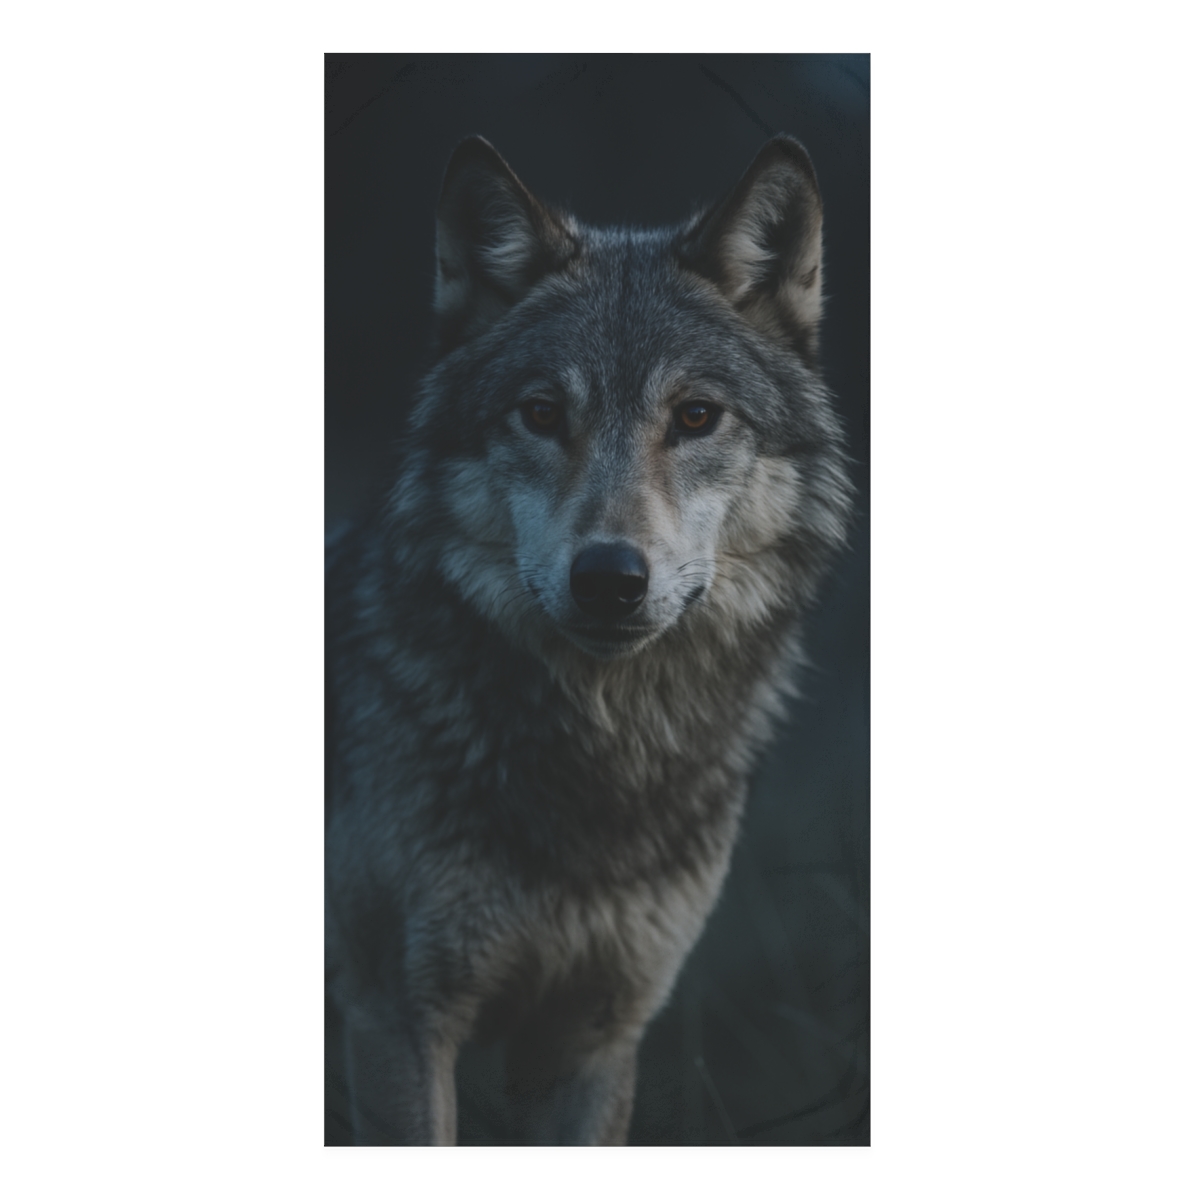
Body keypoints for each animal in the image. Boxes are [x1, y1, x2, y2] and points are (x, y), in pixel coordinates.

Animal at [325, 133, 854, 1145]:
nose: (609, 578)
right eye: (540, 413)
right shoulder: (396, 1020)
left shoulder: (595, 1037)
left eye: (695, 416)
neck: (603, 764)